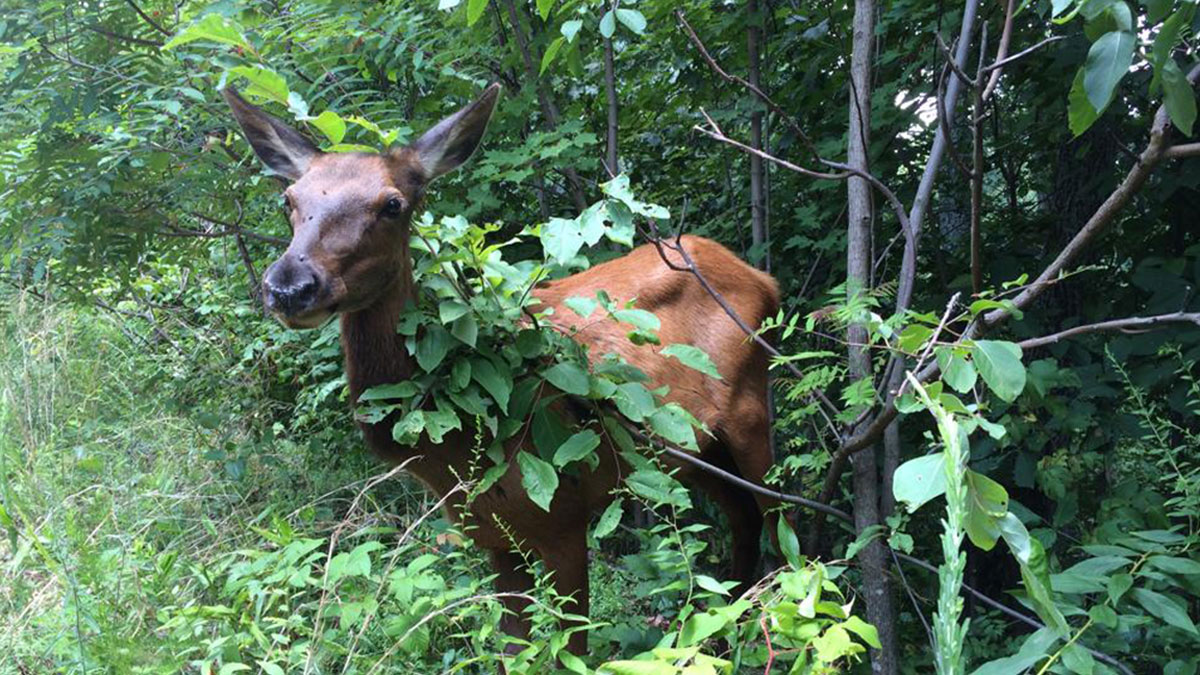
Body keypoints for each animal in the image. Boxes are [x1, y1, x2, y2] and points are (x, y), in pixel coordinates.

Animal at [222, 82, 782, 655]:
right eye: (289, 200)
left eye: (394, 203)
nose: (290, 286)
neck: (452, 446)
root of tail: (763, 278)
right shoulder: (492, 536)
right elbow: (516, 651)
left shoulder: (563, 514)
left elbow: (572, 650)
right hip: (691, 449)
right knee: (742, 518)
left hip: (750, 411)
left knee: (782, 520)